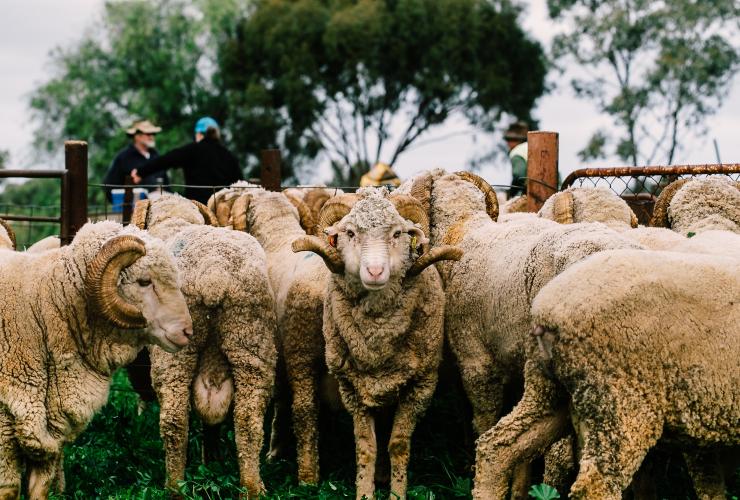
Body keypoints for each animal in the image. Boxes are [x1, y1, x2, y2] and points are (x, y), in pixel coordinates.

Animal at [0, 221, 194, 498]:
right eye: (144, 281)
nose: (187, 331)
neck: (43, 308)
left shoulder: (49, 426)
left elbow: (40, 488)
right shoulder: (6, 425)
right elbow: (8, 489)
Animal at [132, 195, 278, 496]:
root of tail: (214, 270)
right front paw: (211, 460)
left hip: (176, 353)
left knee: (174, 418)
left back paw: (174, 487)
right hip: (251, 339)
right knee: (248, 420)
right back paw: (252, 488)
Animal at [290, 188, 460, 500]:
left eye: (397, 233)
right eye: (350, 232)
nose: (375, 271)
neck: (377, 340)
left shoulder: (421, 386)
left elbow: (398, 444)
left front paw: (397, 493)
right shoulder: (352, 389)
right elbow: (366, 447)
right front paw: (365, 493)